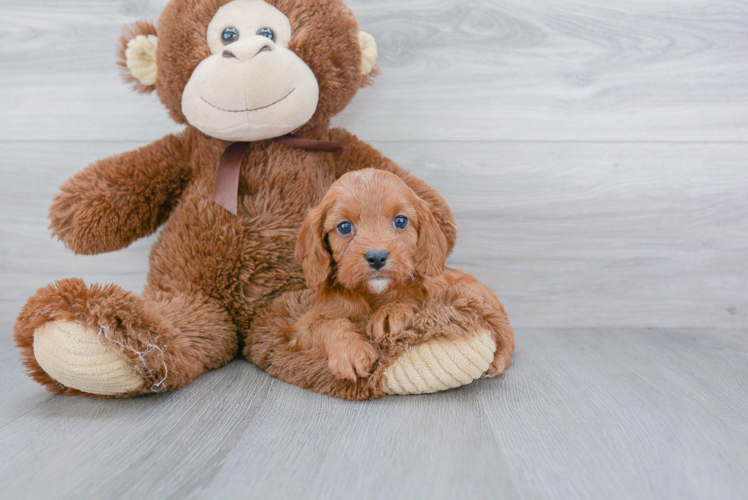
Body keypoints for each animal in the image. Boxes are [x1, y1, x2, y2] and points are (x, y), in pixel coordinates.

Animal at [290, 169, 512, 382]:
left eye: (400, 221)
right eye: (344, 227)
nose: (377, 257)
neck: (372, 294)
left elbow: (410, 297)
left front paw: (391, 312)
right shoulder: (303, 328)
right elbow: (329, 323)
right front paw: (350, 351)